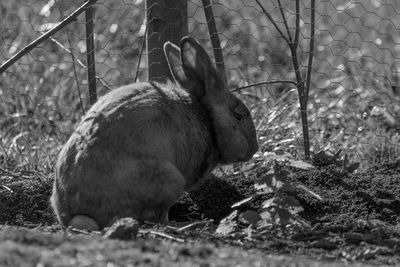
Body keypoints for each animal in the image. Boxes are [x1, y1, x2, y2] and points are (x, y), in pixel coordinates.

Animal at [50, 36, 258, 231]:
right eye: (238, 116)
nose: (254, 149)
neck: (207, 118)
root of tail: (75, 215)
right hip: (170, 180)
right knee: (155, 220)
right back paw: (190, 224)